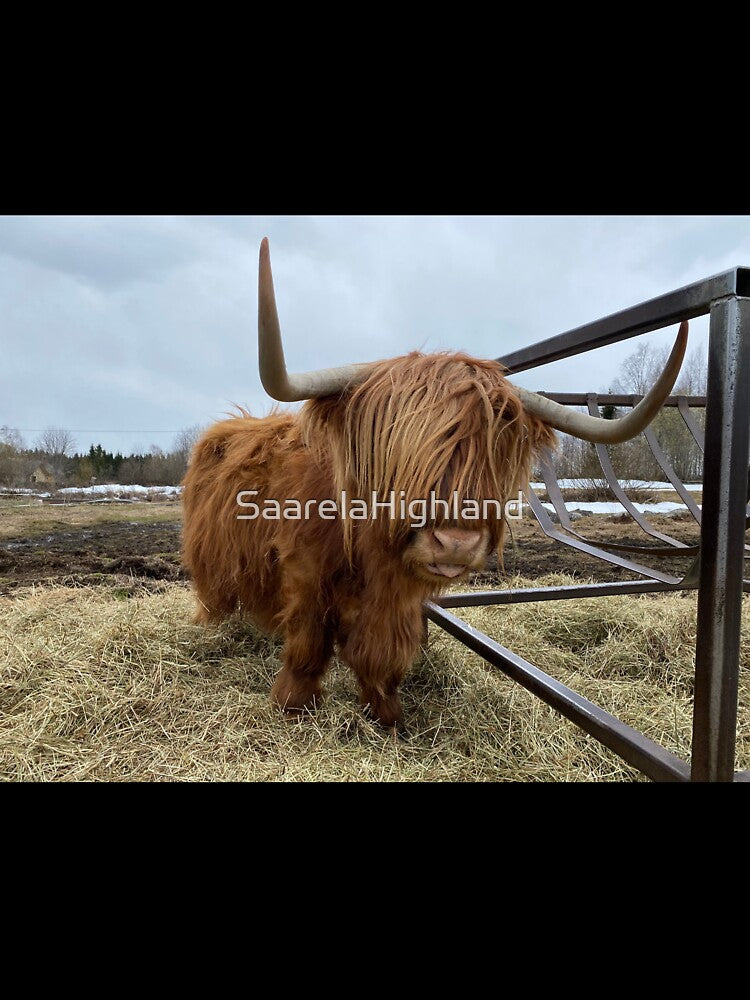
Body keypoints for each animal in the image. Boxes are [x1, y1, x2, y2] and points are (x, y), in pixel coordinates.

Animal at [182, 238, 688, 728]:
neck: (367, 555)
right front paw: (292, 706)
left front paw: (387, 716)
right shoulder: (305, 575)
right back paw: (212, 630)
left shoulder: (398, 599)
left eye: (496, 446)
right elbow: (307, 646)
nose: (456, 544)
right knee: (214, 594)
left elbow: (381, 655)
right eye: (396, 446)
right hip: (210, 561)